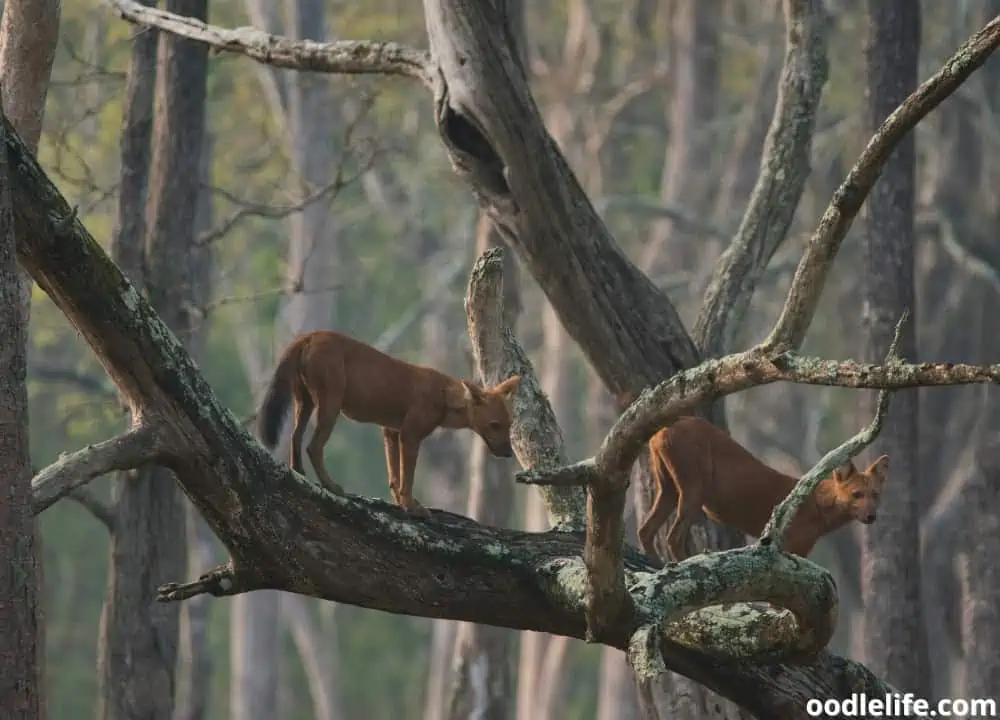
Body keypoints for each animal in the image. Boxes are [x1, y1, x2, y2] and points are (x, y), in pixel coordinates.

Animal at [256, 330, 524, 516]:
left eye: (510, 424)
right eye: (494, 425)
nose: (509, 453)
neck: (444, 396)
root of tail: (308, 336)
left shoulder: (391, 432)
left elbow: (394, 476)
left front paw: (402, 504)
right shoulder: (410, 435)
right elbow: (407, 477)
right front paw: (411, 506)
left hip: (305, 402)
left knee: (295, 436)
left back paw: (299, 473)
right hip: (330, 404)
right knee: (314, 446)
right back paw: (331, 486)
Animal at [636, 416, 888, 564]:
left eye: (876, 495)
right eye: (856, 494)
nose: (871, 516)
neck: (819, 504)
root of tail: (663, 428)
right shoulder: (789, 549)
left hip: (668, 488)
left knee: (645, 531)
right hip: (693, 489)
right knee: (672, 537)